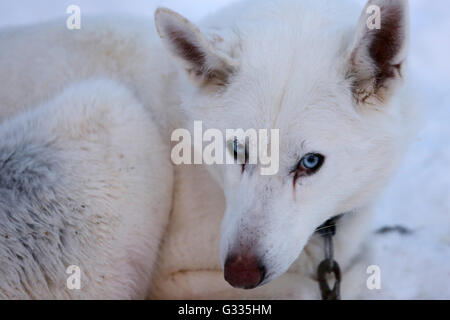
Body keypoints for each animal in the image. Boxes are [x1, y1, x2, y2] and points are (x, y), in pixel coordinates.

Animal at [0, 0, 412, 300]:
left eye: (310, 162)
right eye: (237, 149)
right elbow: (308, 287)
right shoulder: (173, 279)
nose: (240, 273)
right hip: (113, 110)